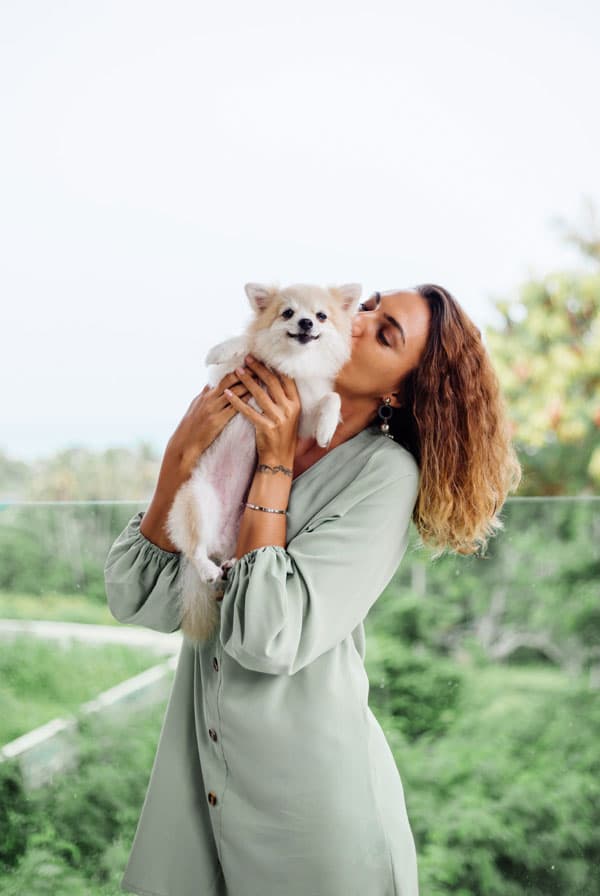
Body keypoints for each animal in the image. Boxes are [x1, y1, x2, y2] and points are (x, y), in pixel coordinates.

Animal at [164, 284, 360, 640]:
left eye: (322, 316)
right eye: (288, 313)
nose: (307, 322)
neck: (292, 365)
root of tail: (220, 540)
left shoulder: (301, 416)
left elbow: (331, 399)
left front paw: (326, 429)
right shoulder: (229, 378)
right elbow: (247, 344)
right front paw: (221, 349)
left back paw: (228, 564)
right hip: (198, 499)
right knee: (194, 549)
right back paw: (208, 568)